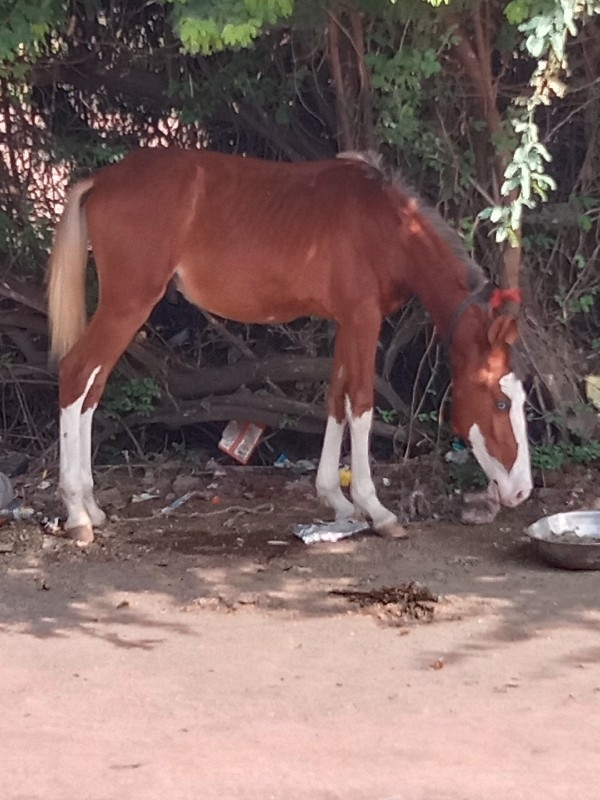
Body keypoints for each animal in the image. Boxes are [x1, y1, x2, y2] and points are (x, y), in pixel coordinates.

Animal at [49, 148, 532, 544]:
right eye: (500, 403)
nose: (522, 491)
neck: (387, 228)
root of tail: (101, 181)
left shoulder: (346, 323)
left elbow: (336, 401)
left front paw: (336, 500)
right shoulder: (363, 319)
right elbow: (361, 404)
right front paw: (376, 509)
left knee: (92, 390)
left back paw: (91, 505)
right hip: (127, 305)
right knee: (76, 374)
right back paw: (76, 514)